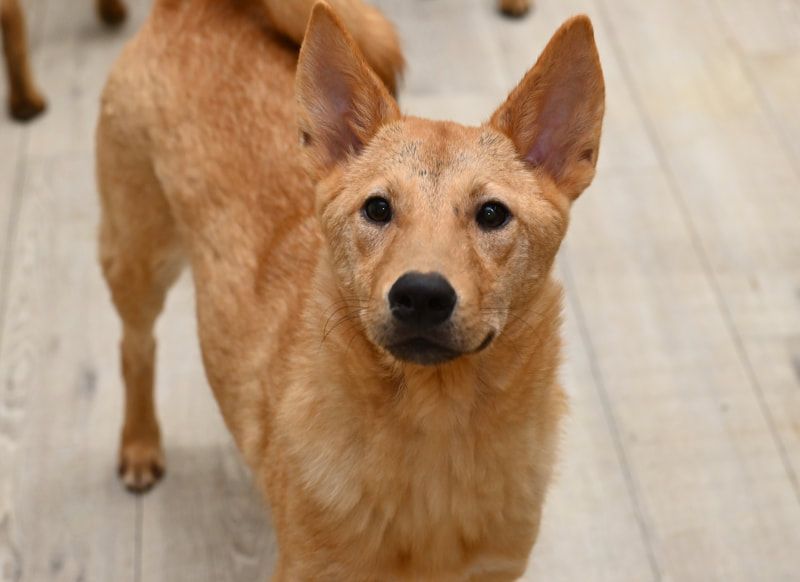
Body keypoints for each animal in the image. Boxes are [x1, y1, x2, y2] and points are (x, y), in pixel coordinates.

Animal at [97, 0, 604, 580]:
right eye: (378, 208)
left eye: (493, 214)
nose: (422, 294)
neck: (435, 432)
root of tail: (190, 11)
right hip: (137, 259)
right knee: (135, 347)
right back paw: (139, 444)